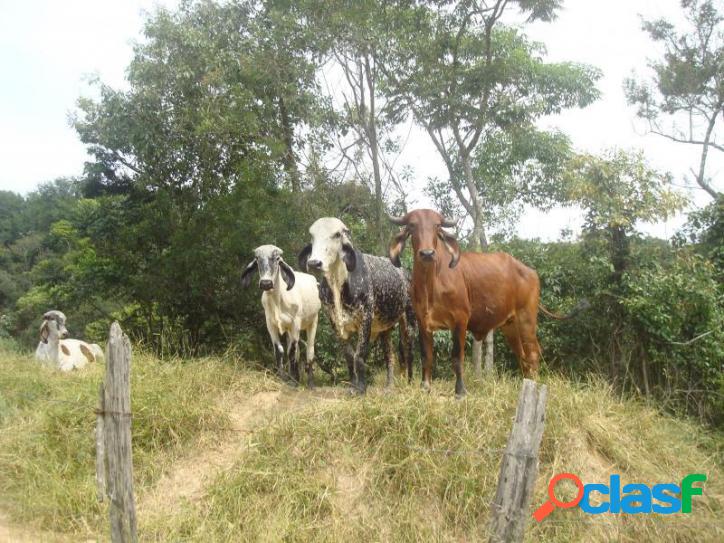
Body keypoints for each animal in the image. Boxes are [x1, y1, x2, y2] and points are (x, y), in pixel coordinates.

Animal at [242, 244, 320, 388]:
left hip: (313, 321)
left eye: (277, 258)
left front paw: (294, 382)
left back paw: (310, 383)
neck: (278, 300)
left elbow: (291, 352)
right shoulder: (270, 325)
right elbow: (280, 350)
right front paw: (283, 378)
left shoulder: (295, 324)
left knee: (309, 351)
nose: (266, 283)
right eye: (257, 258)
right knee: (297, 351)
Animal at [298, 218, 412, 396]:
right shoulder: (335, 323)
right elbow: (349, 356)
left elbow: (359, 356)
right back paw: (389, 386)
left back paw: (410, 382)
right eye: (312, 235)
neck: (338, 283)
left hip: (408, 320)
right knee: (390, 355)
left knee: (408, 351)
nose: (314, 263)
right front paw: (353, 385)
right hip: (385, 329)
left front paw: (361, 389)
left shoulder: (365, 319)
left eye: (337, 234)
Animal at [390, 210, 544, 398]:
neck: (430, 284)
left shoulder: (460, 320)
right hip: (510, 326)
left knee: (533, 352)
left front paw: (460, 391)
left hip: (526, 319)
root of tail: (530, 271)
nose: (427, 253)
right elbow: (426, 356)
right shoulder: (422, 321)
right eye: (412, 225)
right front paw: (425, 386)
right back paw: (525, 384)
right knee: (522, 355)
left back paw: (534, 385)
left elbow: (457, 358)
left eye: (437, 226)